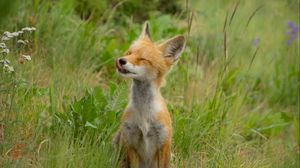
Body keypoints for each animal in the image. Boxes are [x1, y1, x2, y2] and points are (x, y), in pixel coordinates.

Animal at [113, 21, 185, 168]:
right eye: (129, 53)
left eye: (142, 59)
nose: (121, 60)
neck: (144, 116)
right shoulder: (131, 142)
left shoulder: (163, 144)